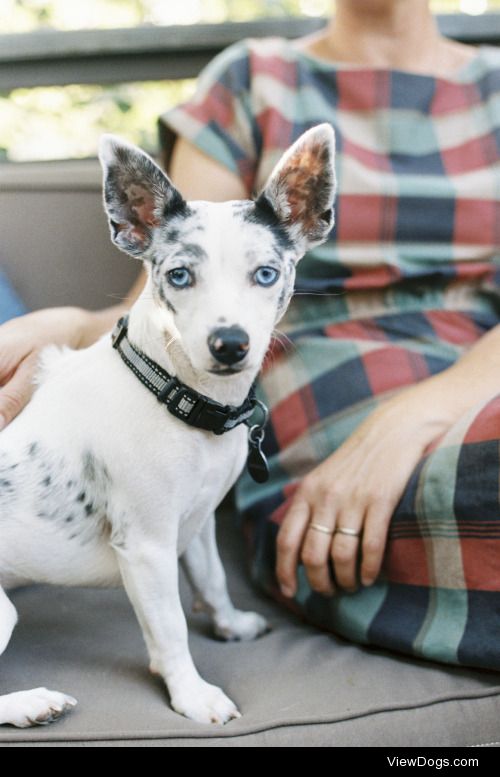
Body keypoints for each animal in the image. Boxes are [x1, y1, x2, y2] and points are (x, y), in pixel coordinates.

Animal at [0, 123, 336, 728]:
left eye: (266, 274)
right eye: (179, 276)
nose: (230, 343)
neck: (181, 400)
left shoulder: (197, 523)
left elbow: (214, 580)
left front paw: (231, 624)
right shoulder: (148, 549)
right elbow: (171, 629)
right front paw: (193, 695)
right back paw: (31, 703)